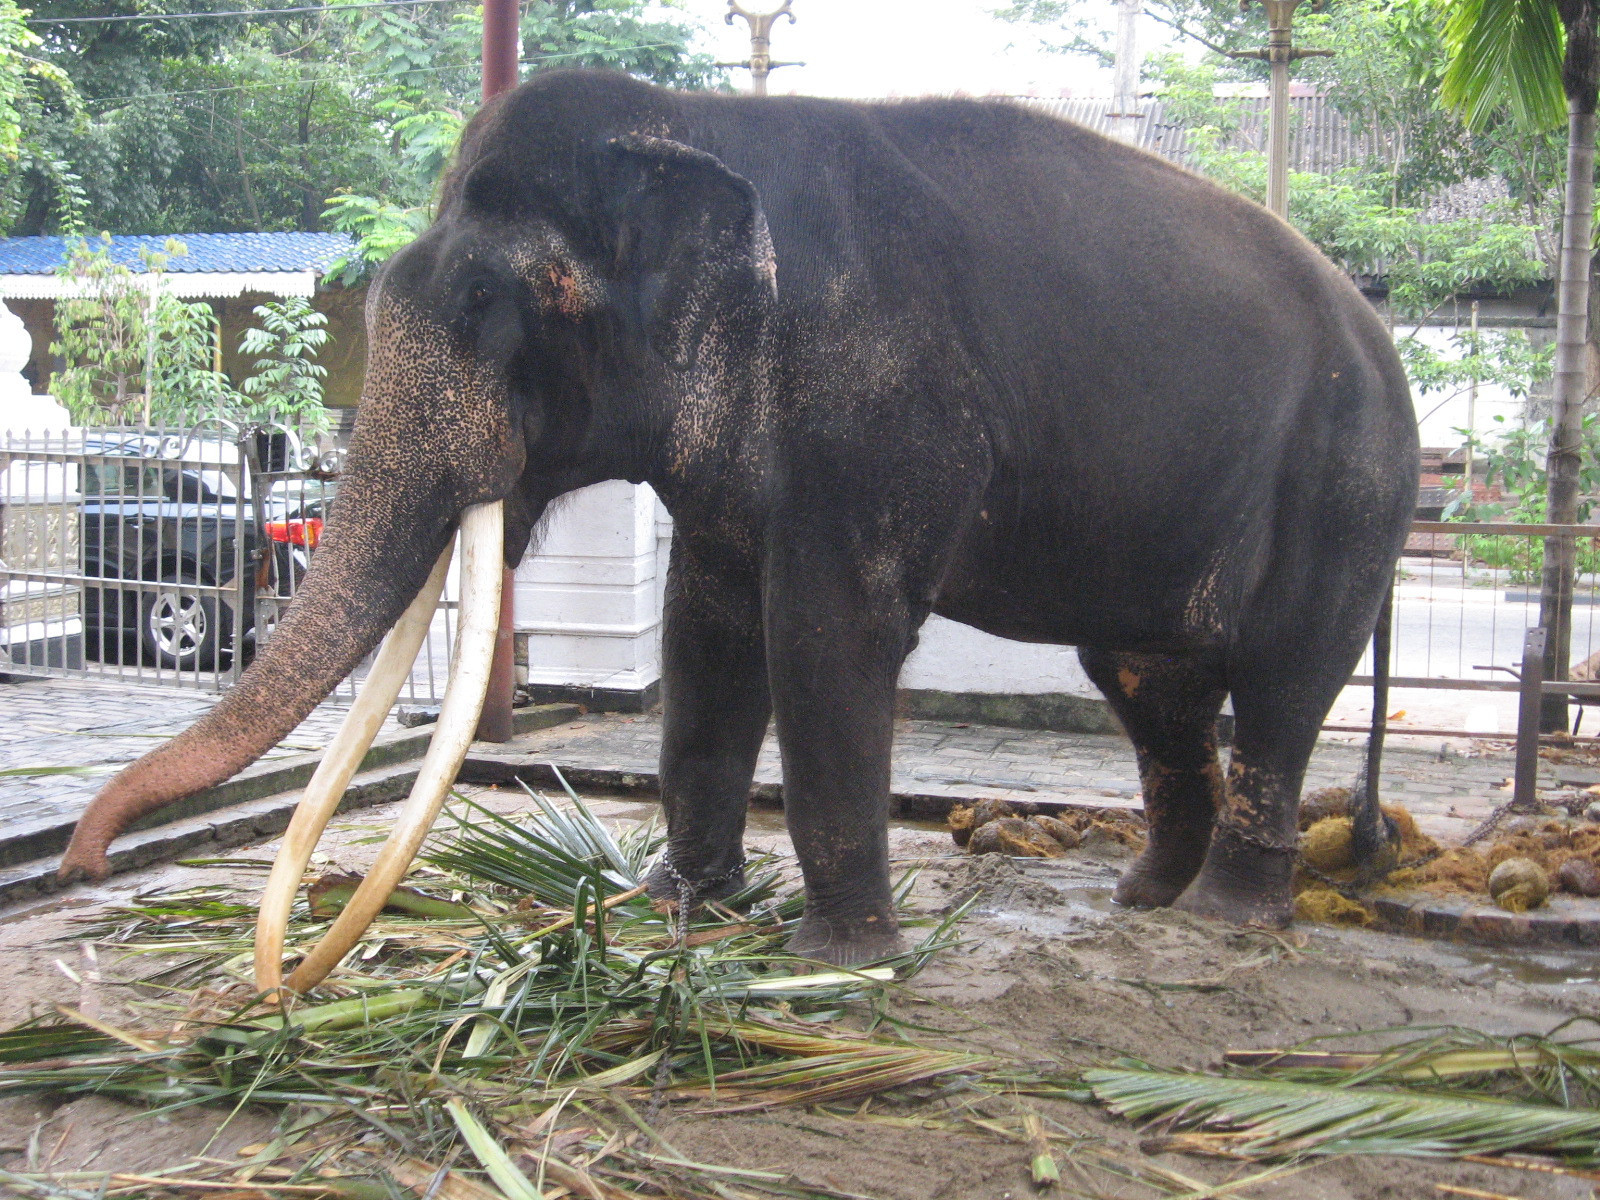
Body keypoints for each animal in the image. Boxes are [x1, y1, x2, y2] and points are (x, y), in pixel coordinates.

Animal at [59, 70, 1414, 979]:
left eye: (506, 302)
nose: (82, 862)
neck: (691, 123)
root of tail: (1378, 334)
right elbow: (702, 634)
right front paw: (677, 908)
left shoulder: (874, 415)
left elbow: (824, 635)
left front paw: (839, 960)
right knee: (1150, 684)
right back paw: (1141, 901)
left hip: (1346, 489)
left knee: (1279, 685)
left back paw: (1227, 921)